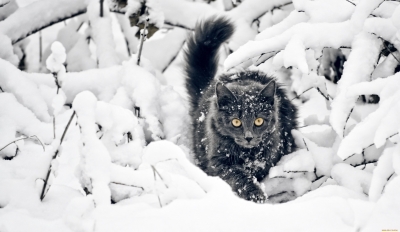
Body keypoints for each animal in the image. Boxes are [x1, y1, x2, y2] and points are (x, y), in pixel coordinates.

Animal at [184, 16, 296, 202]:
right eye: (236, 122)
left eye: (259, 121)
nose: (248, 137)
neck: (247, 155)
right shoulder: (218, 161)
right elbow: (238, 175)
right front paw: (255, 194)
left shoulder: (271, 154)